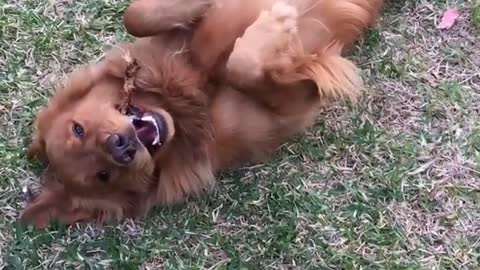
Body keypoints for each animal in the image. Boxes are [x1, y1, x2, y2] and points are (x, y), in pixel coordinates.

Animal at [20, 0, 384, 228]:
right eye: (103, 176)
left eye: (77, 128)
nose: (121, 146)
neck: (189, 99)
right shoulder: (294, 104)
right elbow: (243, 66)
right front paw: (275, 23)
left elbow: (134, 15)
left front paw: (203, 7)